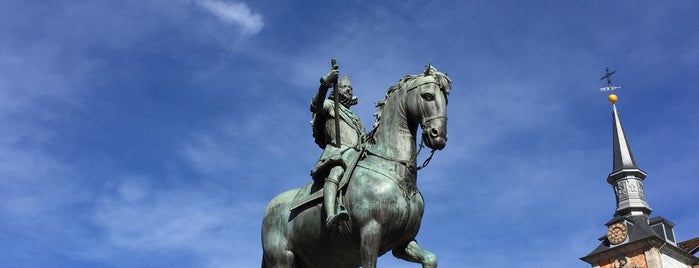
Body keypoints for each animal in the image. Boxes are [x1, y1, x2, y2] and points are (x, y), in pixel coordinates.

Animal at [264, 65, 454, 268]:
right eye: (428, 96)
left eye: (445, 100)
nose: (439, 135)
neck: (397, 174)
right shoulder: (370, 232)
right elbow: (317, 106)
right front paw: (329, 77)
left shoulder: (403, 243)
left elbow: (430, 258)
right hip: (282, 258)